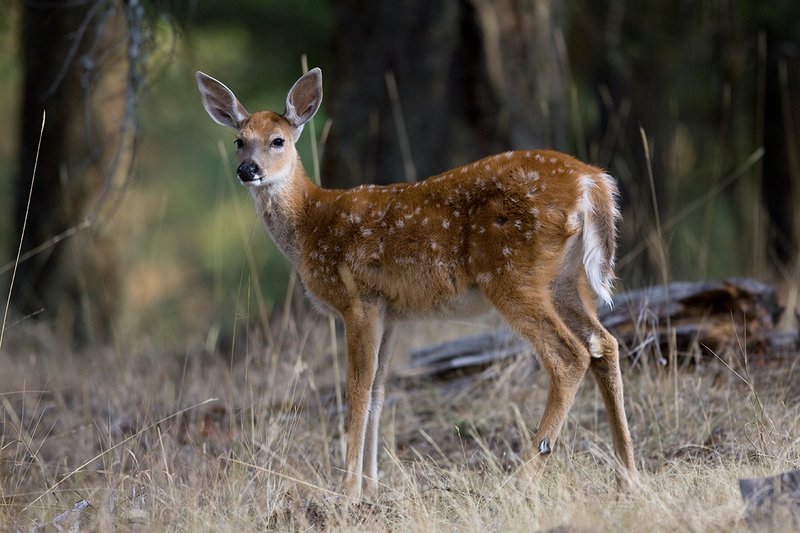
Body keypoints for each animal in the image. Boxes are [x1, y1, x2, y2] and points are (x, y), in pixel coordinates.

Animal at [195, 67, 637, 502]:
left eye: (278, 140)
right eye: (239, 141)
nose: (247, 170)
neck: (309, 224)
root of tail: (592, 181)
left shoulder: (358, 300)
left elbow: (356, 389)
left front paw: (347, 491)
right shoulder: (390, 312)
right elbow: (378, 393)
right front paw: (372, 488)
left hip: (513, 273)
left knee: (569, 355)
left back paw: (523, 482)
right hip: (567, 280)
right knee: (604, 344)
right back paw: (628, 476)